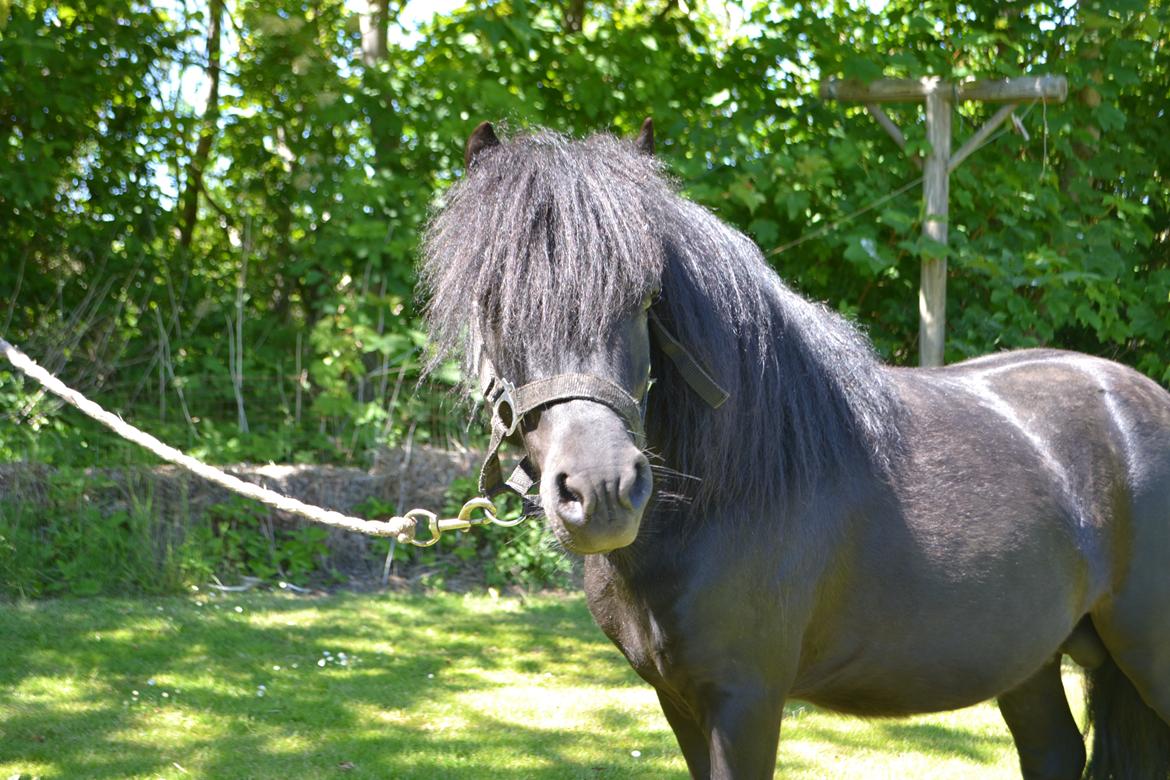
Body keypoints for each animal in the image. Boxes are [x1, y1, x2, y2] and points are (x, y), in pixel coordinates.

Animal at [419, 118, 1170, 779]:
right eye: (493, 301)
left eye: (645, 297)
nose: (602, 491)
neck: (726, 490)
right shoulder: (677, 698)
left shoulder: (745, 700)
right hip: (1027, 658)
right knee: (1056, 753)